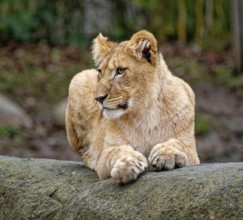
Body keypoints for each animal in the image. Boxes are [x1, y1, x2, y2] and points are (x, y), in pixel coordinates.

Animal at [65, 29, 199, 184]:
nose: (98, 98)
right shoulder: (107, 153)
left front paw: (165, 153)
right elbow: (117, 152)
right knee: (85, 154)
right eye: (100, 72)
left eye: (120, 71)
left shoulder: (192, 151)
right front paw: (128, 164)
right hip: (78, 79)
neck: (145, 111)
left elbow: (180, 145)